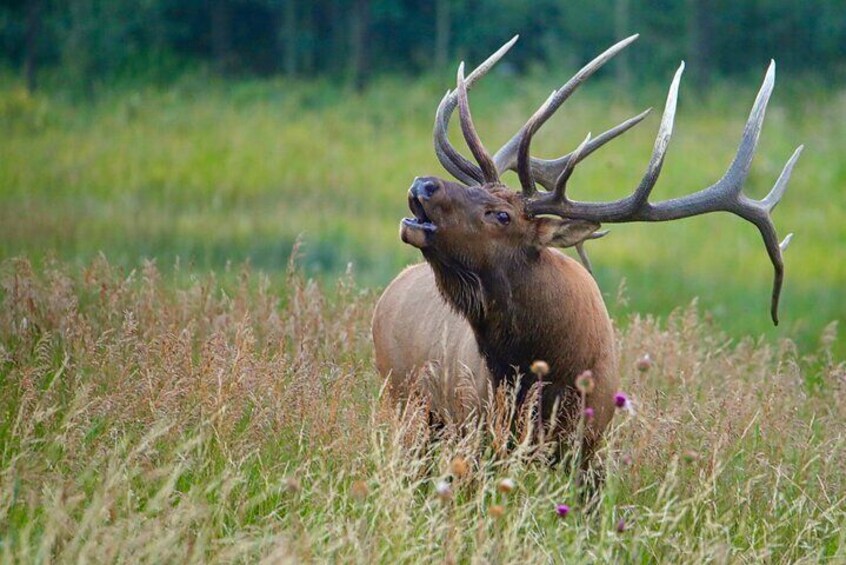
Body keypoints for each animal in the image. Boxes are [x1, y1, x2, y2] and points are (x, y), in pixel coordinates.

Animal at [372, 33, 800, 462]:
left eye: (502, 215)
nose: (424, 184)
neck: (546, 372)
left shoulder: (590, 444)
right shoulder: (478, 429)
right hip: (405, 403)